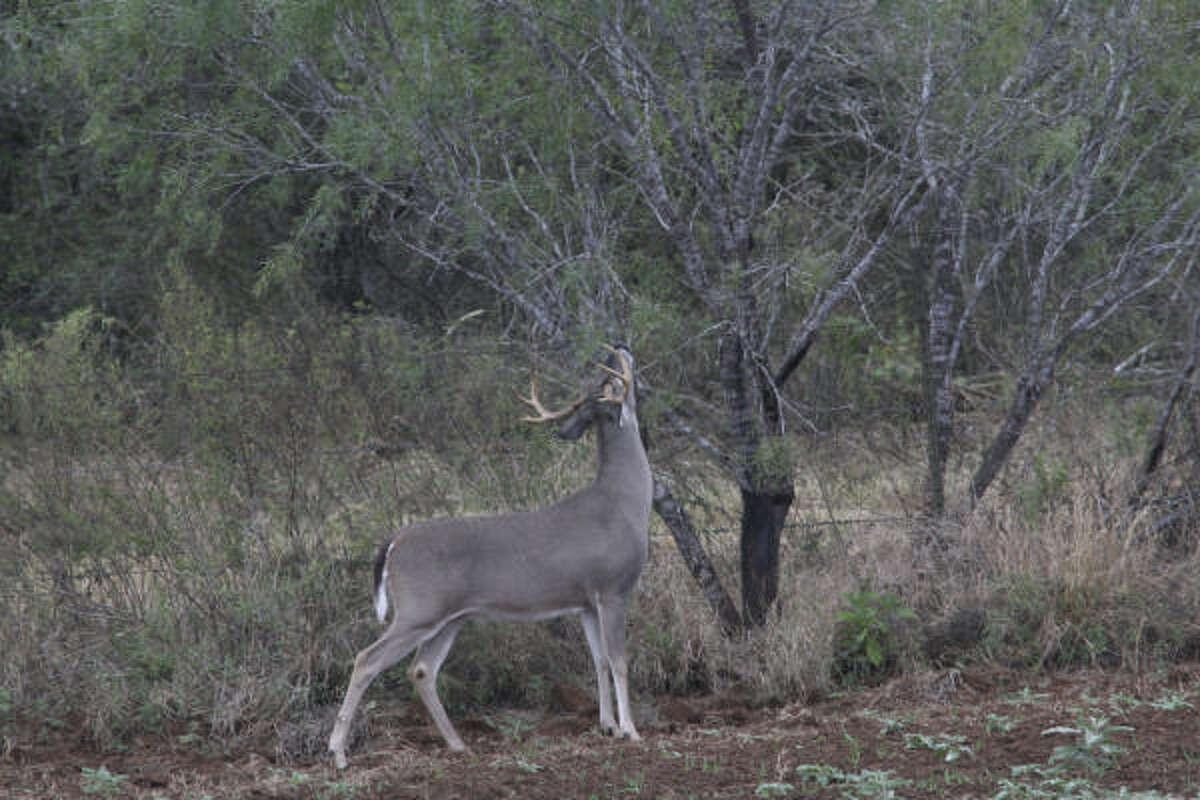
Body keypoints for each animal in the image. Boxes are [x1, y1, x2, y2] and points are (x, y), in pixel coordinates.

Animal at [328, 345, 652, 768]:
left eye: (600, 381)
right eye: (612, 375)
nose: (619, 347)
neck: (625, 502)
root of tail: (394, 541)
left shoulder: (585, 600)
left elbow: (597, 660)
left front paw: (608, 726)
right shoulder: (613, 588)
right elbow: (619, 660)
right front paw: (631, 731)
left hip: (449, 617)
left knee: (422, 670)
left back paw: (457, 743)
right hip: (419, 609)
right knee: (367, 659)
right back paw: (338, 752)